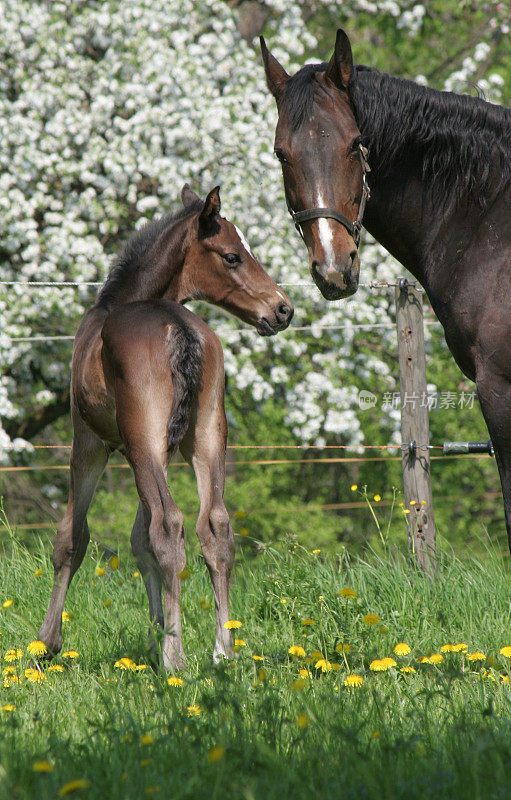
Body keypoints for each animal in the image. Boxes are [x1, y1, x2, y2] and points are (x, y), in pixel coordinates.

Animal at [38, 186, 294, 668]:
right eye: (233, 256)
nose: (283, 309)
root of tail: (178, 328)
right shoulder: (151, 450)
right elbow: (139, 542)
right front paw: (155, 629)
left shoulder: (91, 443)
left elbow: (72, 537)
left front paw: (46, 643)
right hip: (205, 437)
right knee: (214, 526)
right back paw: (222, 650)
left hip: (142, 445)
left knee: (169, 526)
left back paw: (175, 658)